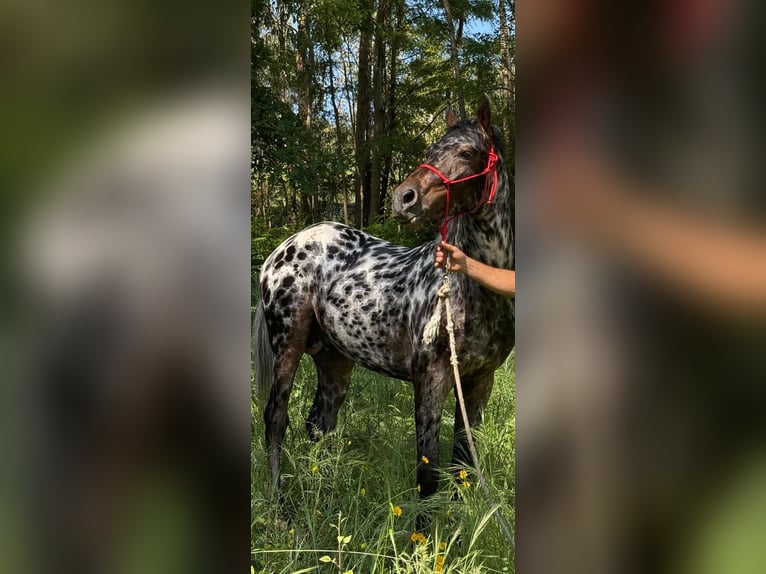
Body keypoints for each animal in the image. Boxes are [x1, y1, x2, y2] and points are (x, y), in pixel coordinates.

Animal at [254, 97, 514, 506]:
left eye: (466, 152)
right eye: (431, 150)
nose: (403, 198)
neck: (472, 294)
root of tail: (286, 247)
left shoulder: (479, 382)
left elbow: (463, 465)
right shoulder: (431, 378)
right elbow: (428, 473)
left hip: (334, 358)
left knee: (319, 423)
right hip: (288, 347)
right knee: (276, 419)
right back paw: (278, 501)